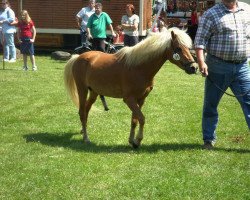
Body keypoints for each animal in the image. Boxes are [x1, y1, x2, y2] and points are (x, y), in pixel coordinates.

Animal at [64, 27, 197, 148]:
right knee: (82, 112)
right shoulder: (129, 99)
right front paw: (137, 140)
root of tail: (78, 57)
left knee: (86, 110)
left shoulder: (141, 99)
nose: (194, 67)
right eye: (178, 48)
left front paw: (131, 140)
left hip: (94, 92)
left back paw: (83, 131)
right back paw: (86, 138)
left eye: (188, 48)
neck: (138, 67)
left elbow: (135, 120)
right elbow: (142, 118)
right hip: (82, 89)